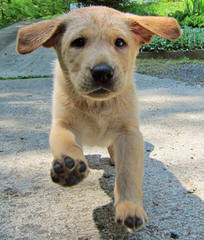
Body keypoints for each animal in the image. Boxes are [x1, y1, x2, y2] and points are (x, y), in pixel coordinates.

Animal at [17, 6, 180, 231]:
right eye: (78, 42)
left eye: (120, 42)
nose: (102, 72)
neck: (97, 105)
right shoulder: (62, 124)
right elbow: (66, 143)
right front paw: (70, 168)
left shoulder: (129, 133)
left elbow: (128, 173)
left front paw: (130, 207)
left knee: (114, 150)